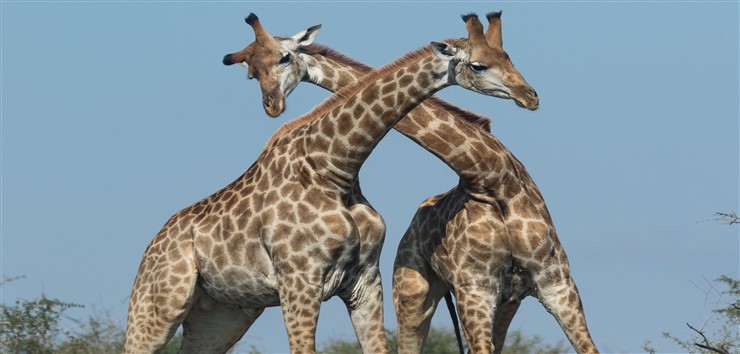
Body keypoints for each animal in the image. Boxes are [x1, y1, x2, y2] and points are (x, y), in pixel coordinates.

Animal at [123, 12, 536, 352]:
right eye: (479, 65)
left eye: (508, 56)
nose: (528, 95)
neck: (335, 168)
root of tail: (152, 246)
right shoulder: (299, 282)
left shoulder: (364, 282)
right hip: (158, 306)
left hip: (223, 312)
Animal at [221, 11, 600, 354]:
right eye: (252, 71)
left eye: (506, 57)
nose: (529, 95)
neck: (491, 179)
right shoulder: (475, 289)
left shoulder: (556, 282)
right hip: (414, 294)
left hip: (505, 302)